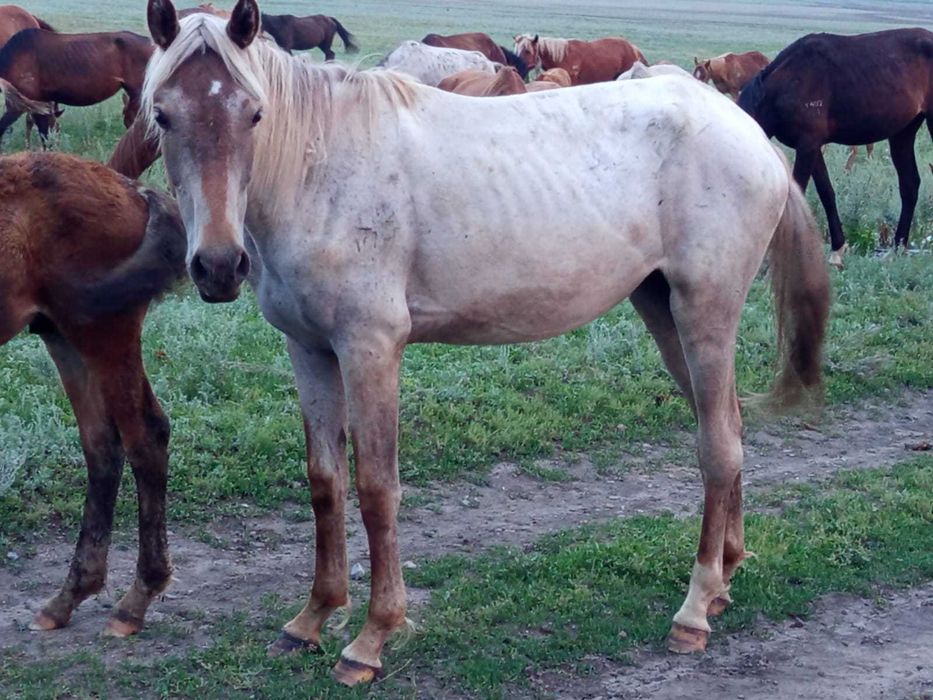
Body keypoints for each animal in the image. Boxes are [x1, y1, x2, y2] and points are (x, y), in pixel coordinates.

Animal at [0, 151, 186, 638]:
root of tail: (133, 190)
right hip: (62, 334)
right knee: (102, 444)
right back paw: (71, 594)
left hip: (102, 331)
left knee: (145, 437)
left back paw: (135, 600)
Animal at [739, 28, 933, 267]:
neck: (784, 84)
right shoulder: (812, 146)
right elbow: (826, 193)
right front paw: (837, 250)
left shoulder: (807, 144)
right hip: (903, 133)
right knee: (909, 184)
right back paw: (897, 247)